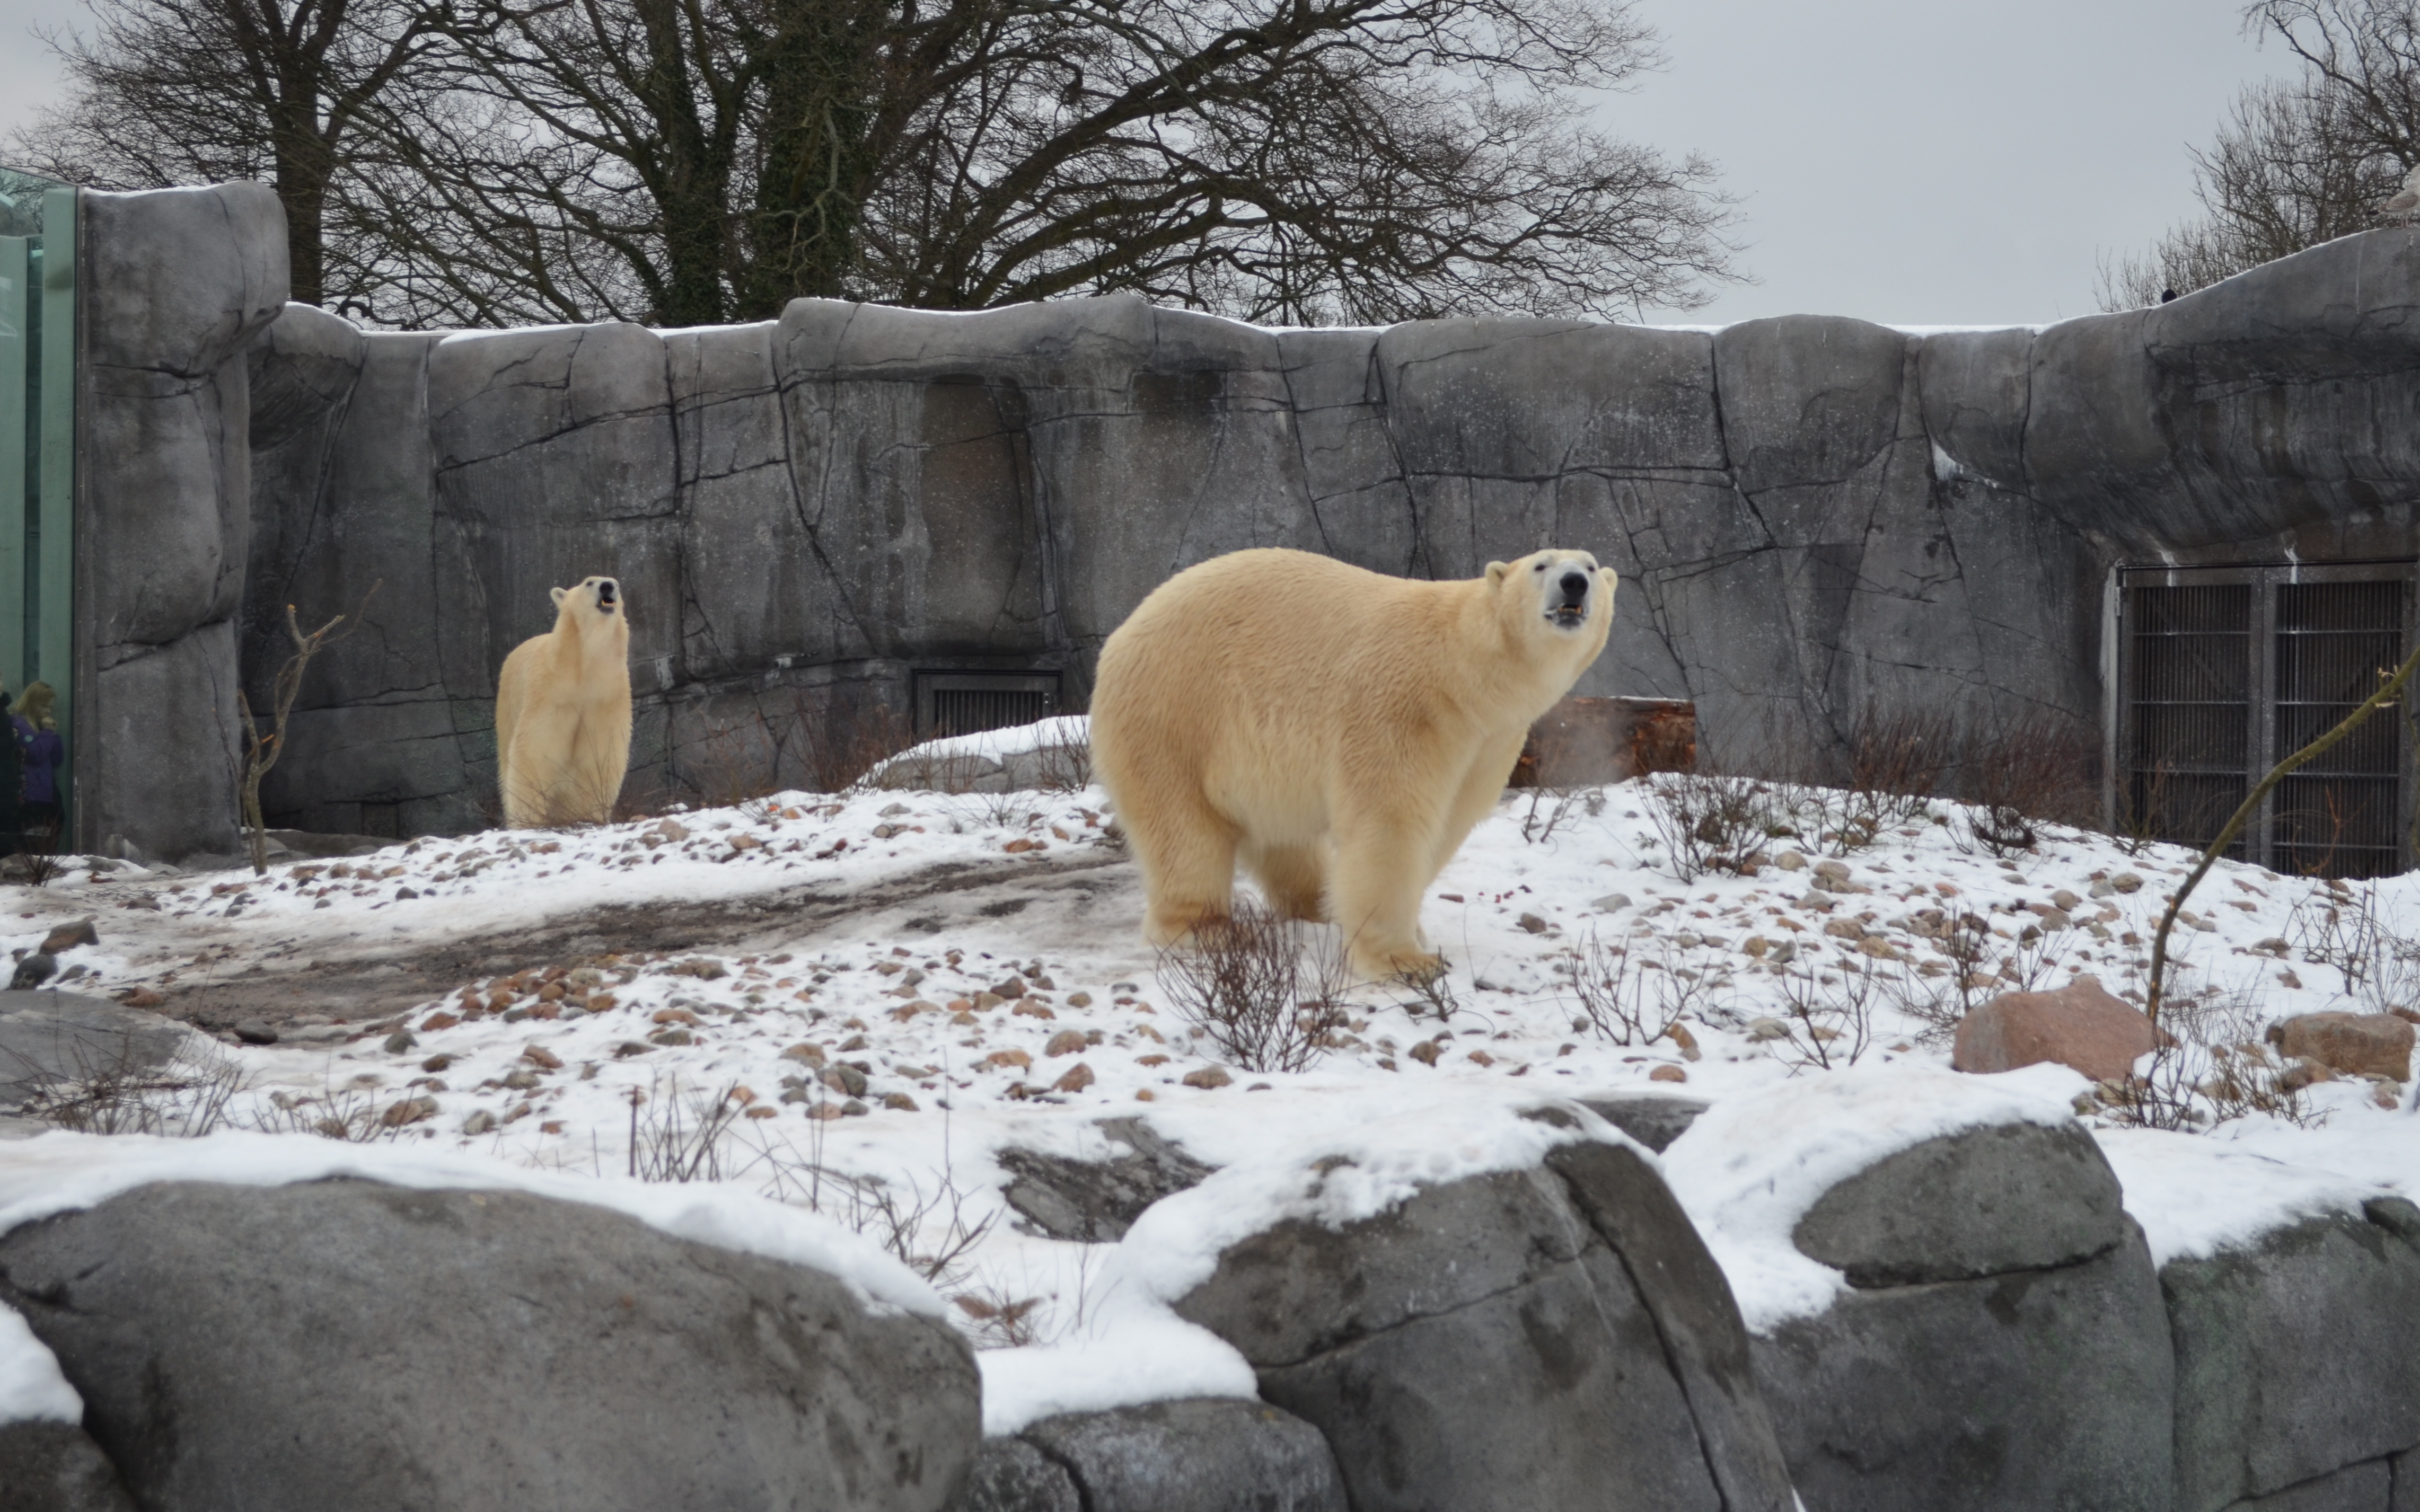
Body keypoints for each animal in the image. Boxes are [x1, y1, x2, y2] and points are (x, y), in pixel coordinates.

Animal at [494, 571, 634, 827]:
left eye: (616, 583)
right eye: (590, 582)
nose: (607, 586)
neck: (582, 666)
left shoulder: (607, 694)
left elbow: (600, 751)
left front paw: (585, 814)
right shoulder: (550, 691)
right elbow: (535, 748)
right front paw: (528, 819)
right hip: (508, 705)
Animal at [1089, 542, 1616, 977]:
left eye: (1590, 565)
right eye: (1542, 564)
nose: (1575, 582)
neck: (1462, 673)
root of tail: (1123, 631)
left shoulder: (1488, 740)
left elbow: (1448, 823)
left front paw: (1408, 932)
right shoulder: (1403, 710)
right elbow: (1390, 823)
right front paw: (1404, 959)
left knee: (1286, 841)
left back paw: (1321, 903)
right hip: (1174, 717)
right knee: (1183, 829)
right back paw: (1208, 927)